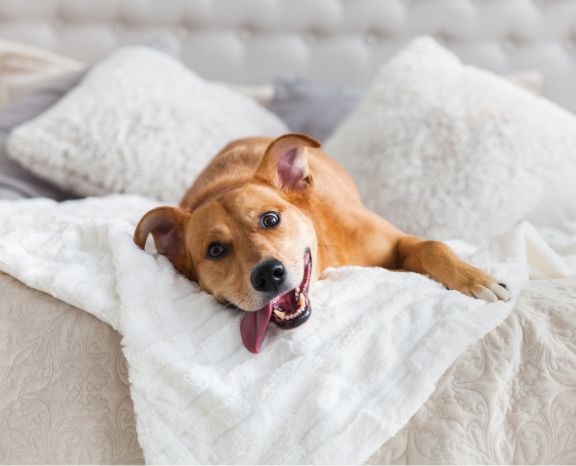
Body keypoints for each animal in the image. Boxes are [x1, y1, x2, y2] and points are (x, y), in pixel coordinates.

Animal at [134, 133, 508, 352]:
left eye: (270, 219)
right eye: (215, 250)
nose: (268, 275)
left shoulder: (400, 242)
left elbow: (433, 246)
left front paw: (476, 279)